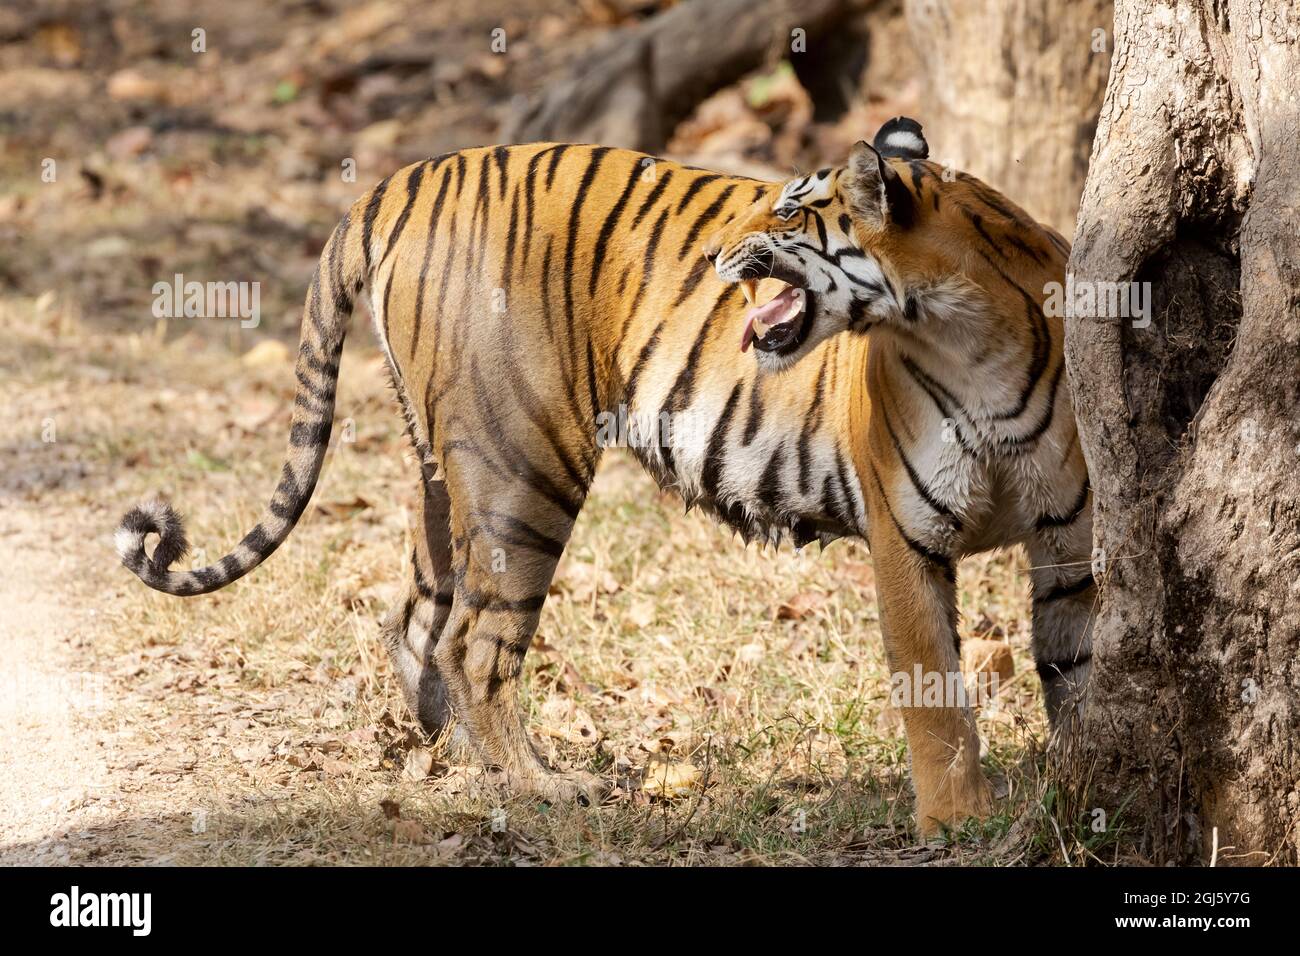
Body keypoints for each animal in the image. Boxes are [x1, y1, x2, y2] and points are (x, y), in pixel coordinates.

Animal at [116, 117, 1092, 837]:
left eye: (788, 214)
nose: (716, 257)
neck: (968, 334)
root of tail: (398, 181)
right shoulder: (905, 534)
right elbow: (936, 696)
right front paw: (958, 823)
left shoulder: (1070, 537)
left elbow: (1075, 672)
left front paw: (1083, 788)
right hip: (524, 467)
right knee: (475, 643)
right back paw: (539, 787)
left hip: (445, 470)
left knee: (416, 619)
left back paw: (451, 762)